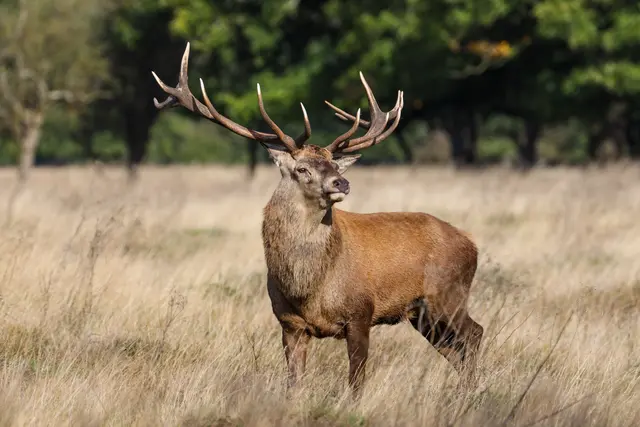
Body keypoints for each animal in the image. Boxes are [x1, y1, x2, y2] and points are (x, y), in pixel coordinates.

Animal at [151, 43, 484, 396]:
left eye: (335, 165)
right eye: (302, 169)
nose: (342, 183)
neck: (309, 289)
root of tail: (471, 244)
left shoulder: (361, 313)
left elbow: (356, 382)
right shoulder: (289, 324)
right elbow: (293, 383)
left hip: (448, 293)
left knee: (474, 335)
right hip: (422, 313)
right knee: (455, 349)